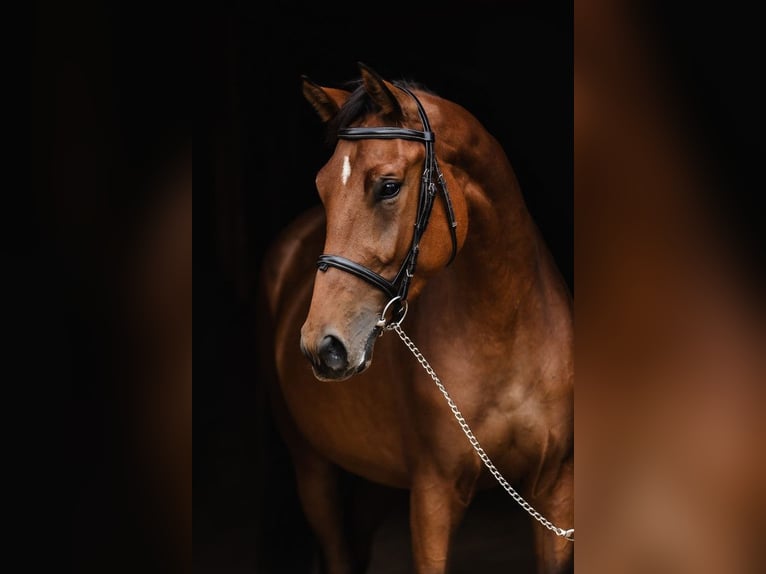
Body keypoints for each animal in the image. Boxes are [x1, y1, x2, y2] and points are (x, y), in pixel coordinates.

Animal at [257, 62, 573, 574]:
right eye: (322, 188)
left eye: (388, 186)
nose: (322, 345)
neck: (504, 331)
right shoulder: (433, 496)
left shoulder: (555, 491)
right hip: (312, 467)